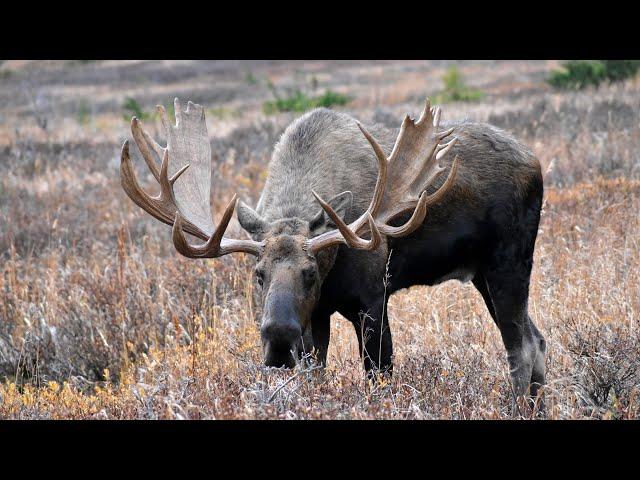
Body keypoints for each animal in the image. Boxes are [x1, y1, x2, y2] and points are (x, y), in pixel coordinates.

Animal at [120, 97, 544, 402]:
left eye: (311, 272)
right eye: (258, 275)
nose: (278, 338)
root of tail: (535, 162)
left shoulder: (372, 298)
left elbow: (379, 376)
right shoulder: (317, 315)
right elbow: (315, 376)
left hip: (508, 262)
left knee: (520, 348)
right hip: (481, 274)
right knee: (537, 340)